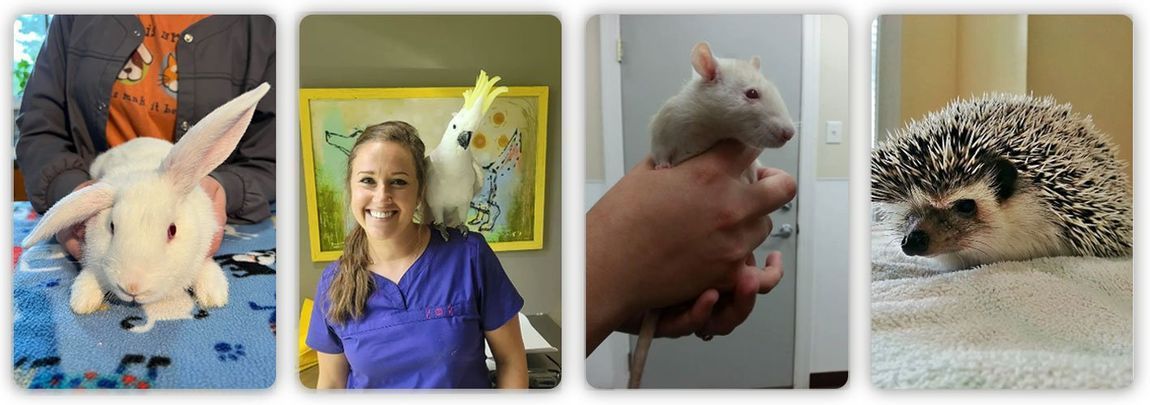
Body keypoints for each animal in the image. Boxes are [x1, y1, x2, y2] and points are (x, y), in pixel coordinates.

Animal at [21, 82, 272, 331]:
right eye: (112, 226)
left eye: (172, 230)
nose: (132, 287)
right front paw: (83, 301)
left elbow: (206, 265)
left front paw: (214, 295)